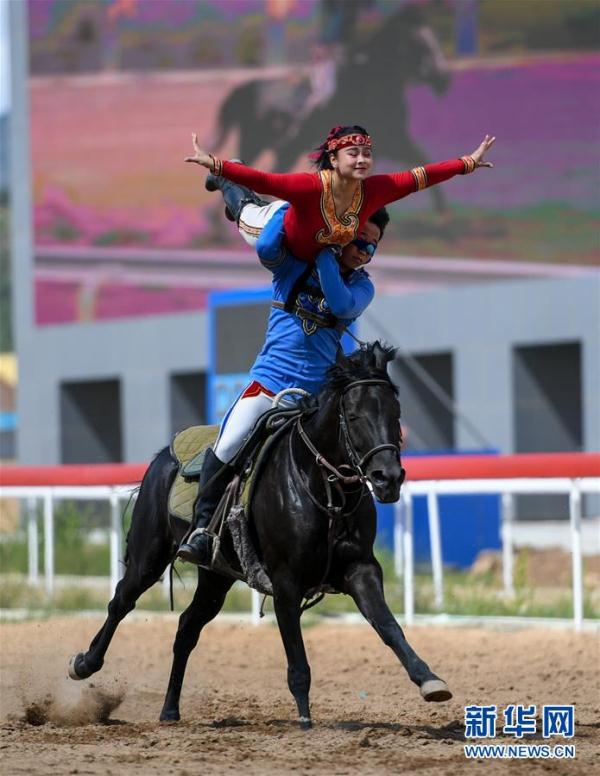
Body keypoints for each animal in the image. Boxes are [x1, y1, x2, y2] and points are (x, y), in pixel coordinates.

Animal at [68, 342, 450, 724]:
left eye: (395, 414)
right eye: (354, 416)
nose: (389, 478)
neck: (320, 484)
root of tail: (165, 454)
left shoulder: (361, 570)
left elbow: (387, 625)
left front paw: (428, 679)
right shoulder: (285, 582)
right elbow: (297, 660)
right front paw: (305, 721)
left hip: (216, 577)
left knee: (187, 628)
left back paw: (170, 709)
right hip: (150, 555)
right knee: (122, 600)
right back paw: (84, 664)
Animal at [213, 6, 452, 214]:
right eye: (418, 43)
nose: (443, 79)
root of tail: (244, 89)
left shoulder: (392, 144)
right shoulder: (394, 143)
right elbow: (420, 157)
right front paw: (443, 215)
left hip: (284, 148)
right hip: (254, 142)